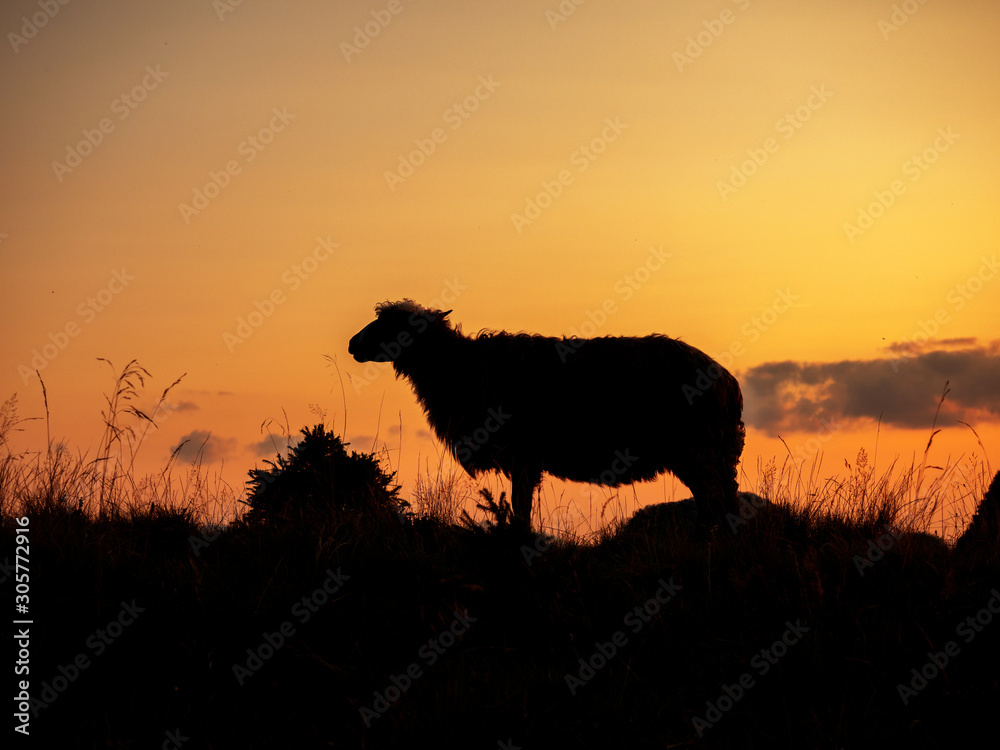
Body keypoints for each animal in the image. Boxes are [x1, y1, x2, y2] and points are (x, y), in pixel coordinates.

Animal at [348, 300, 748, 528]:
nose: (353, 344)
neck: (463, 368)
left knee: (723, 506)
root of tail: (728, 382)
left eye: (392, 324)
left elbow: (521, 510)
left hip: (702, 451)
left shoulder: (523, 454)